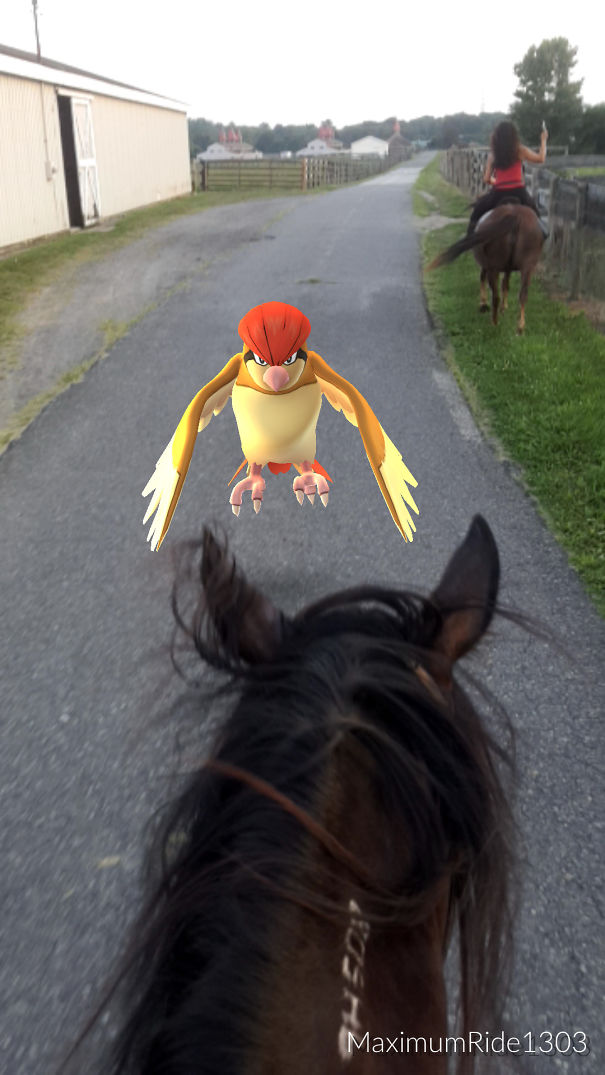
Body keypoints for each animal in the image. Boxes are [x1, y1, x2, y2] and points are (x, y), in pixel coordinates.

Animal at [429, 204, 545, 334]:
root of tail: (516, 215)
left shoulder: (486, 266)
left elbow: (483, 279)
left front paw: (484, 304)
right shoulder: (508, 268)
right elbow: (506, 284)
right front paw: (504, 307)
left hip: (493, 269)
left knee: (495, 296)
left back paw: (494, 323)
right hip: (527, 267)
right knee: (523, 295)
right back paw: (520, 327)